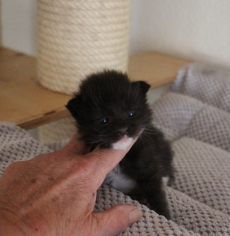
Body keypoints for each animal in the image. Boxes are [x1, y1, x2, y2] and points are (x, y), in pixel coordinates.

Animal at [66, 70, 174, 219]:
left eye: (131, 113)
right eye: (103, 120)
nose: (122, 130)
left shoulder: (148, 165)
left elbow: (155, 192)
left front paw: (163, 215)